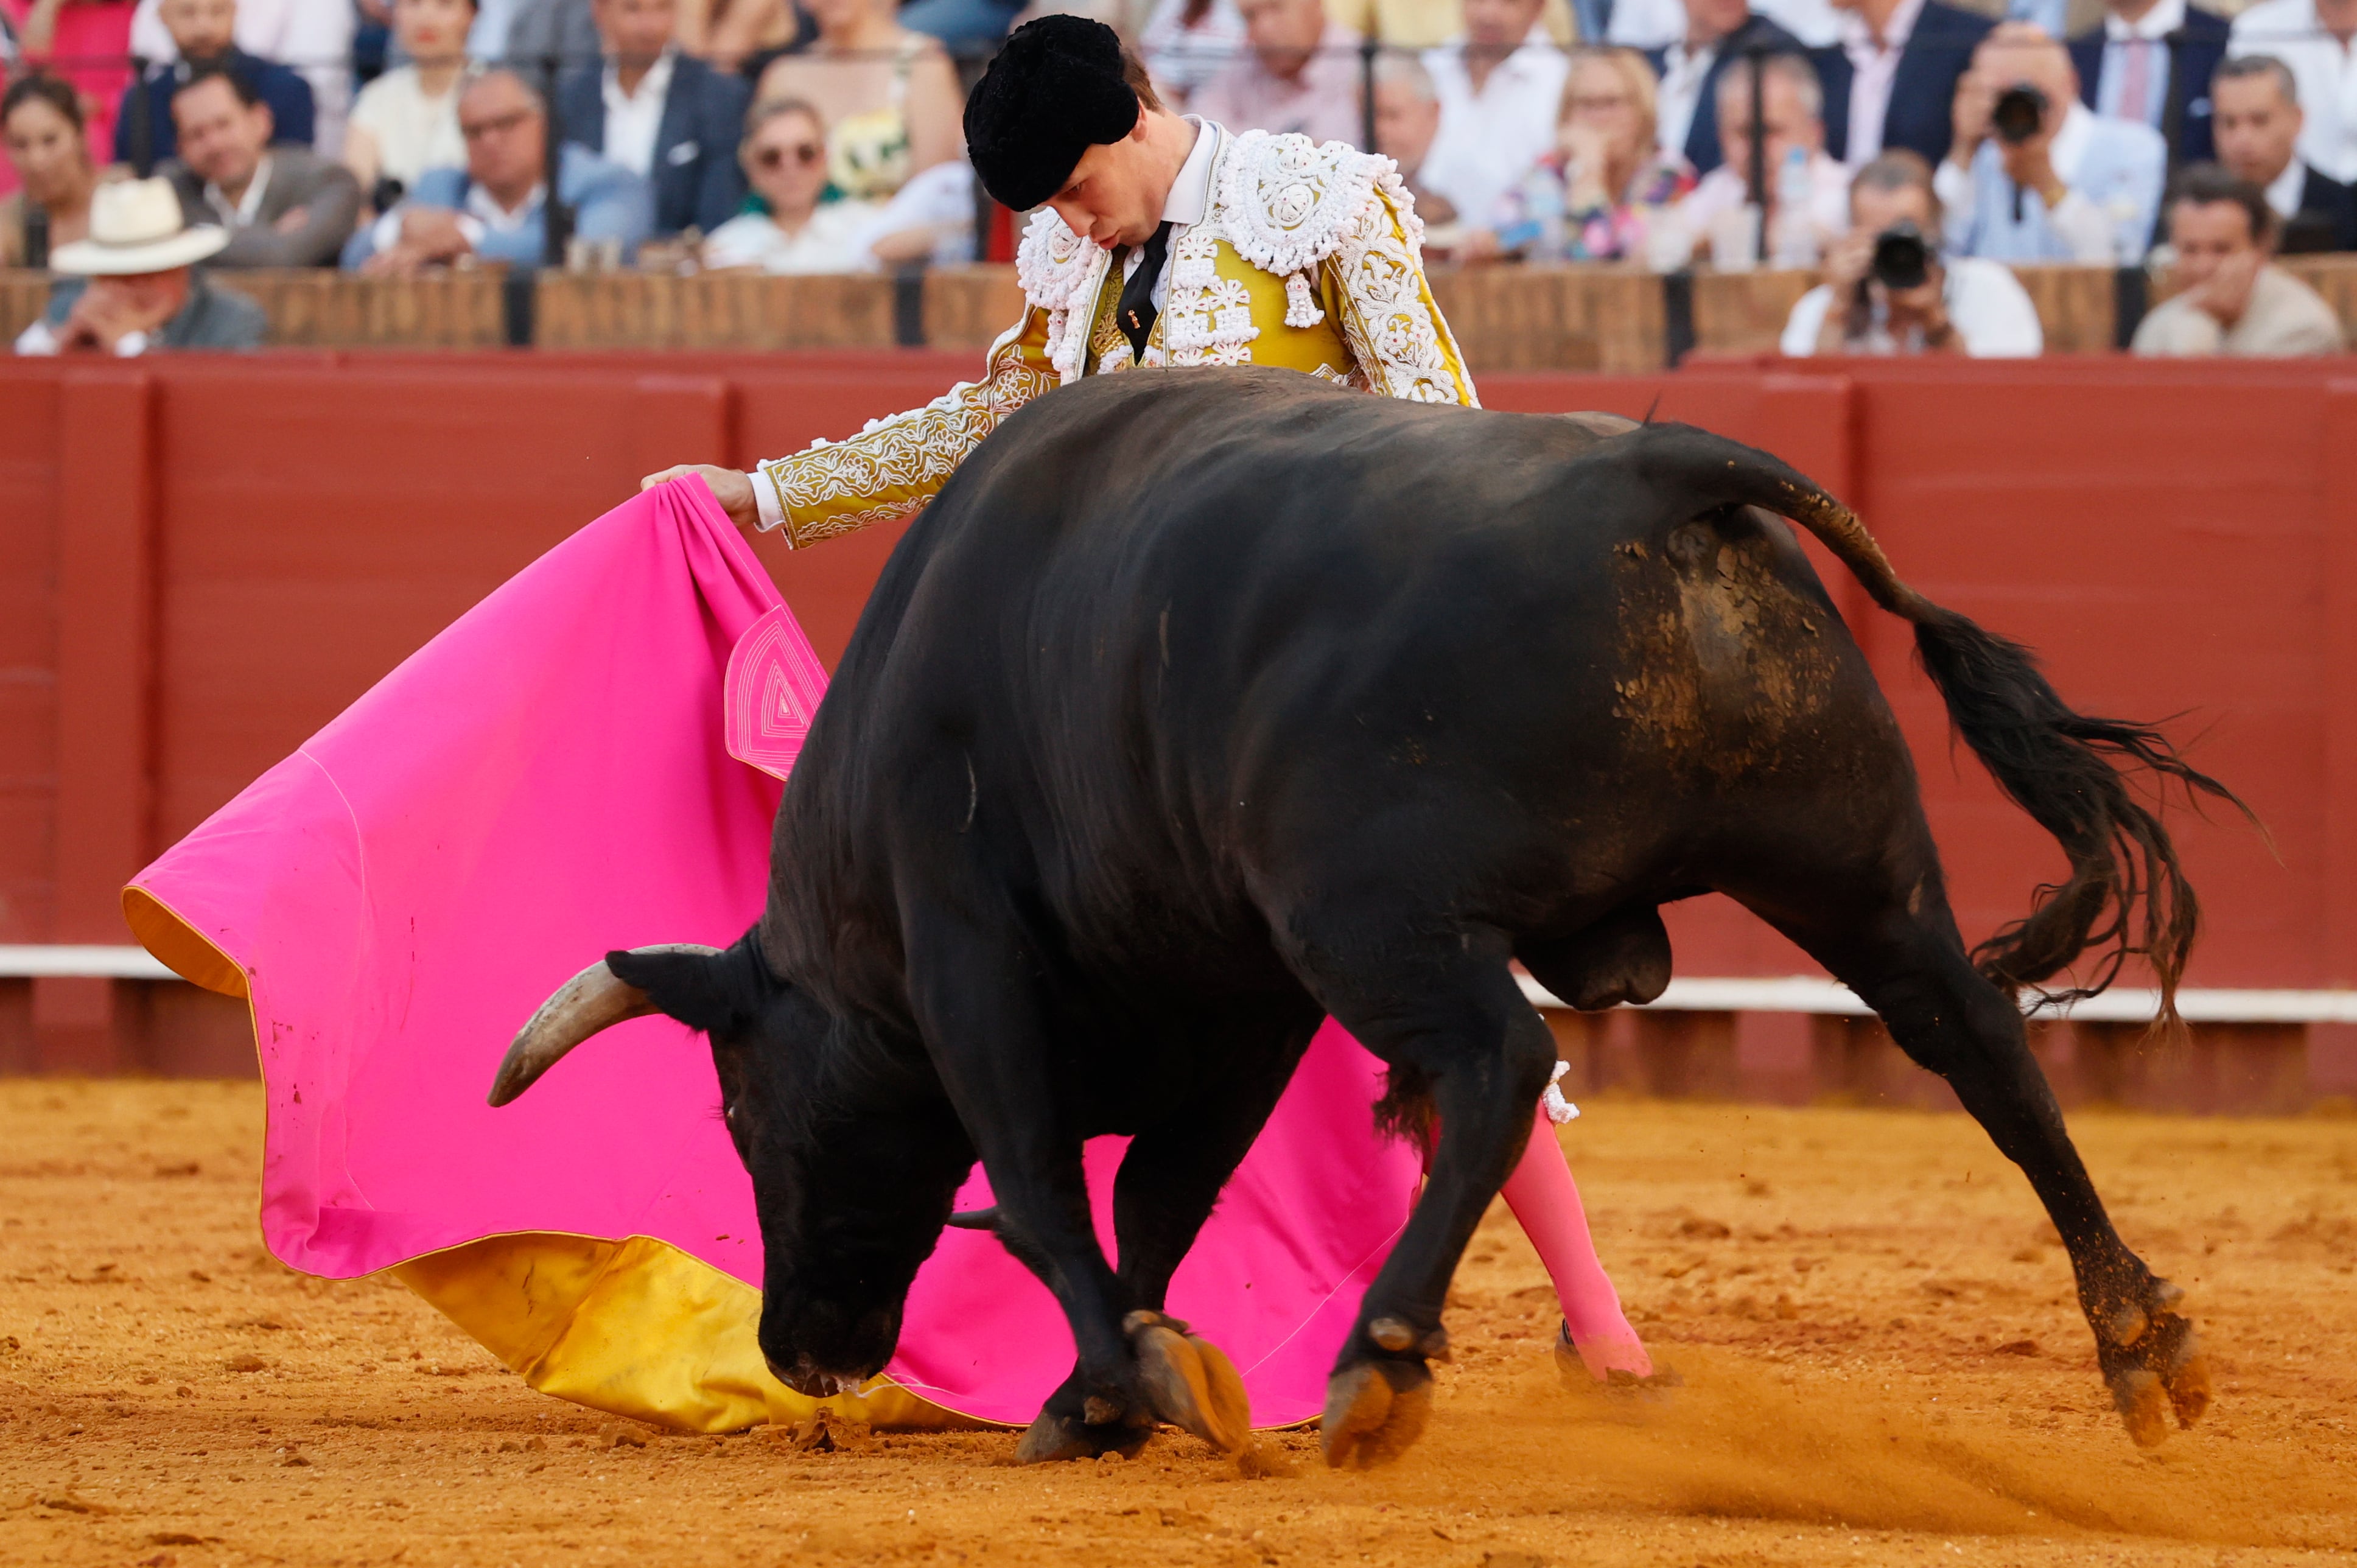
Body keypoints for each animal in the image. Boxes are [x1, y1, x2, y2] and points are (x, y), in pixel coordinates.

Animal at [492, 370, 2225, 1471]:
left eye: (740, 1110)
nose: (805, 1349)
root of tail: (1661, 470)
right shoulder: (1241, 995)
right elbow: (1166, 1192)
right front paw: (1118, 1382)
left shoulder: (973, 960)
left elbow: (1050, 1188)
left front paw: (1116, 1390)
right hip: (1855, 867)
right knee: (1978, 1044)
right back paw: (2141, 1343)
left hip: (1374, 920)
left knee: (1501, 1064)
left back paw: (1377, 1366)